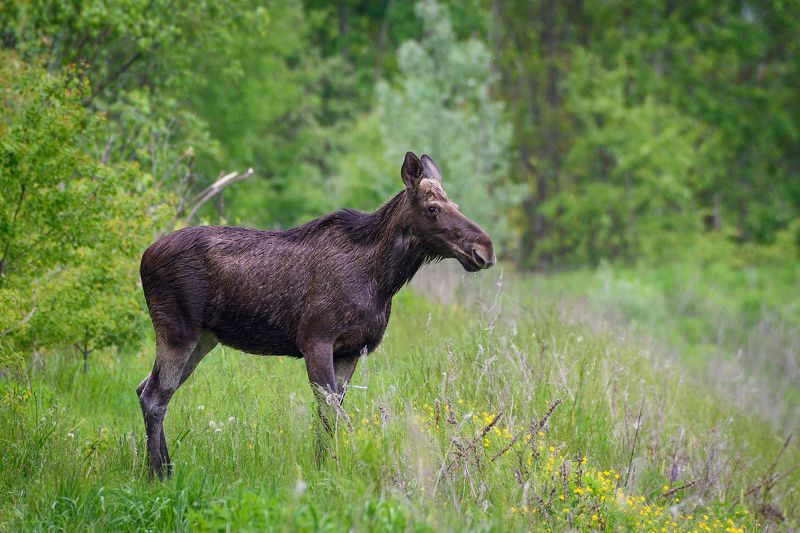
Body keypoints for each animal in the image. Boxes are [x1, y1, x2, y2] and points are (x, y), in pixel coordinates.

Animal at [137, 152, 495, 477]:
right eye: (433, 208)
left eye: (457, 206)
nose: (485, 248)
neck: (382, 279)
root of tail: (144, 258)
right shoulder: (316, 340)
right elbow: (336, 415)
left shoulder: (350, 350)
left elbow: (328, 416)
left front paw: (325, 468)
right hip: (177, 332)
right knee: (155, 396)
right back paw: (157, 475)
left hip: (202, 340)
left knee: (146, 389)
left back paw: (165, 467)